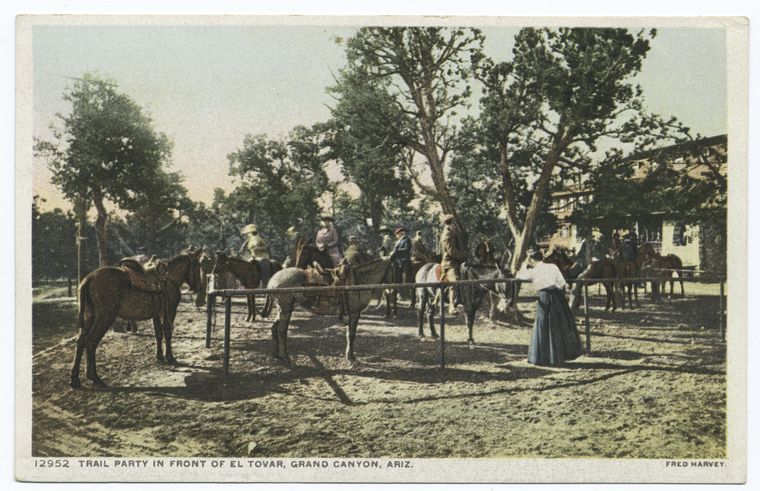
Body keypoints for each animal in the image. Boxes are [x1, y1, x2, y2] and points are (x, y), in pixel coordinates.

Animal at [69, 252, 202, 390]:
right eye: (198, 266)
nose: (199, 287)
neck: (170, 279)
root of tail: (88, 279)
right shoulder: (170, 311)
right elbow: (167, 332)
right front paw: (170, 357)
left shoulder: (156, 314)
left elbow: (158, 334)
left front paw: (159, 356)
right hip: (105, 317)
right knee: (91, 341)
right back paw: (94, 377)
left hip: (89, 317)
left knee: (81, 341)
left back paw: (75, 379)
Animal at [264, 260, 392, 368]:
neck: (359, 281)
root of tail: (272, 280)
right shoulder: (354, 314)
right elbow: (351, 335)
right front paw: (351, 357)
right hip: (286, 309)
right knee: (282, 331)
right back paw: (285, 357)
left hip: (283, 310)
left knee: (274, 328)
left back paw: (276, 355)